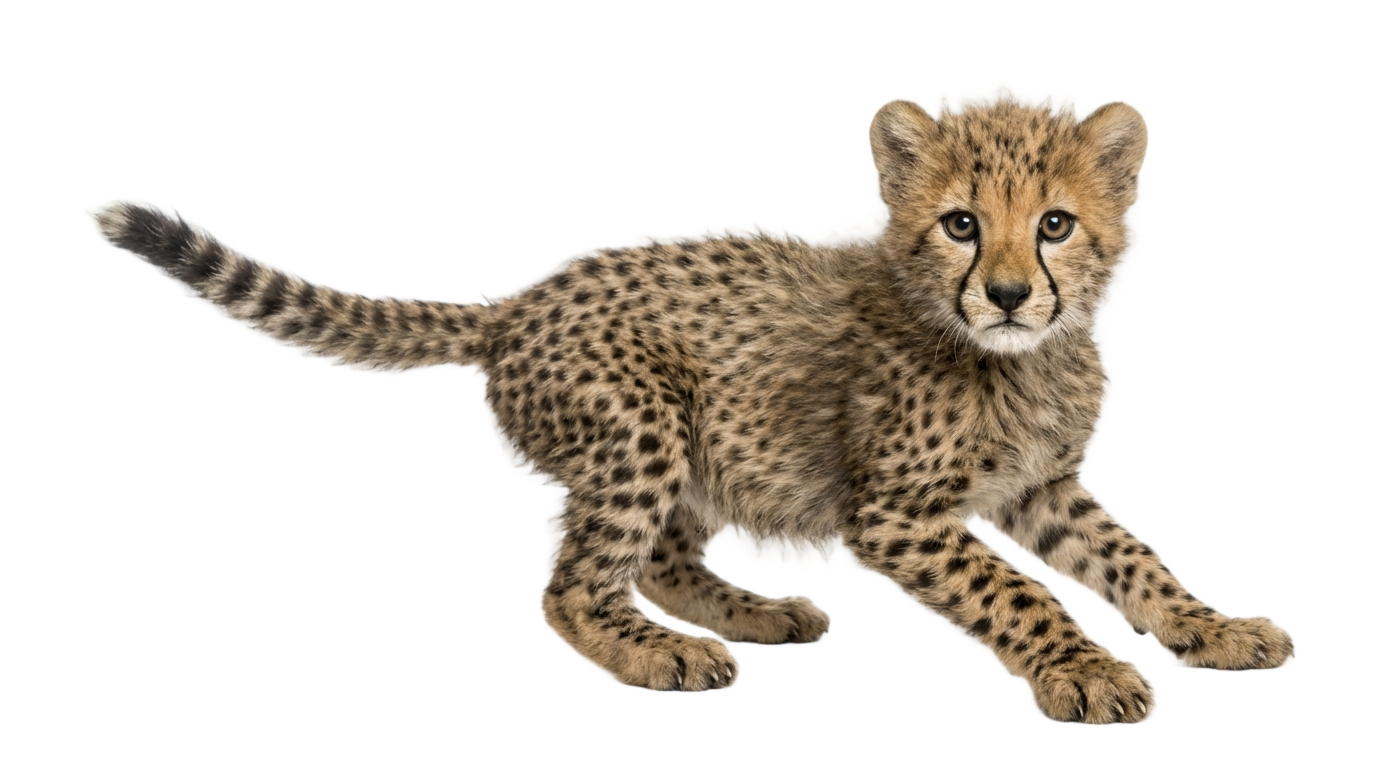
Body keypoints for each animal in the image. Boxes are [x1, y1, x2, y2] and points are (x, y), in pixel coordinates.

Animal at [95, 95, 1292, 722]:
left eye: (1052, 225)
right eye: (960, 224)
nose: (1004, 293)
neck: (1005, 355)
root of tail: (522, 301)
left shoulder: (1043, 489)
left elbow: (1129, 561)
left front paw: (1211, 627)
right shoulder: (893, 514)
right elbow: (1015, 593)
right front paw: (1083, 669)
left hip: (677, 441)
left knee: (660, 559)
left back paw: (750, 615)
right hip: (638, 426)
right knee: (575, 588)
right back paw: (656, 656)